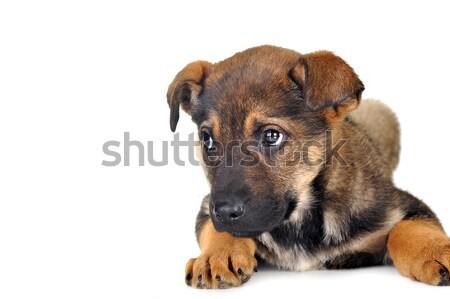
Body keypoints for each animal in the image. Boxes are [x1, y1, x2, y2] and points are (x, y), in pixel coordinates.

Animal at [165, 46, 450, 288]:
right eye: (207, 140)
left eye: (271, 136)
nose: (225, 211)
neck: (299, 222)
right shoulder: (207, 207)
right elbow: (215, 229)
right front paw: (216, 256)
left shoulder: (403, 204)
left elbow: (407, 227)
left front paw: (436, 250)